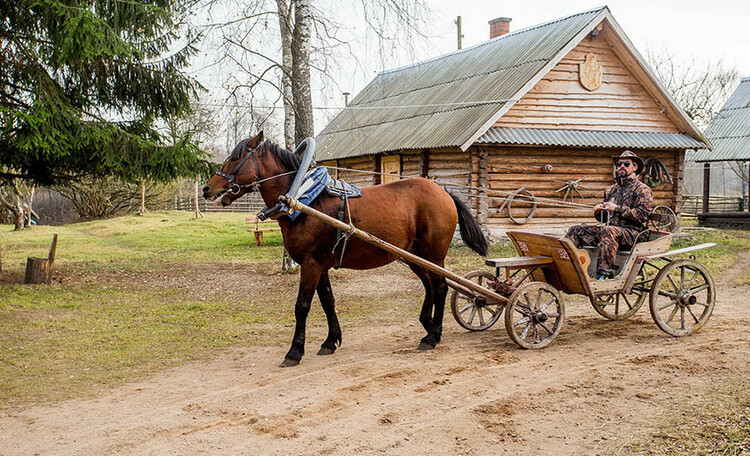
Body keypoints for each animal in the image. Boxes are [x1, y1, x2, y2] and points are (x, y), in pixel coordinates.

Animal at [203, 132, 490, 366]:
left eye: (234, 158)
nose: (208, 188)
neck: (306, 199)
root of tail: (443, 191)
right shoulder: (320, 266)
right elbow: (328, 301)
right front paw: (331, 341)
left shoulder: (311, 264)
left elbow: (302, 306)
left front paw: (295, 351)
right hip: (413, 257)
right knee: (430, 287)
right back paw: (428, 327)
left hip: (434, 255)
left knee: (440, 288)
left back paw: (434, 335)